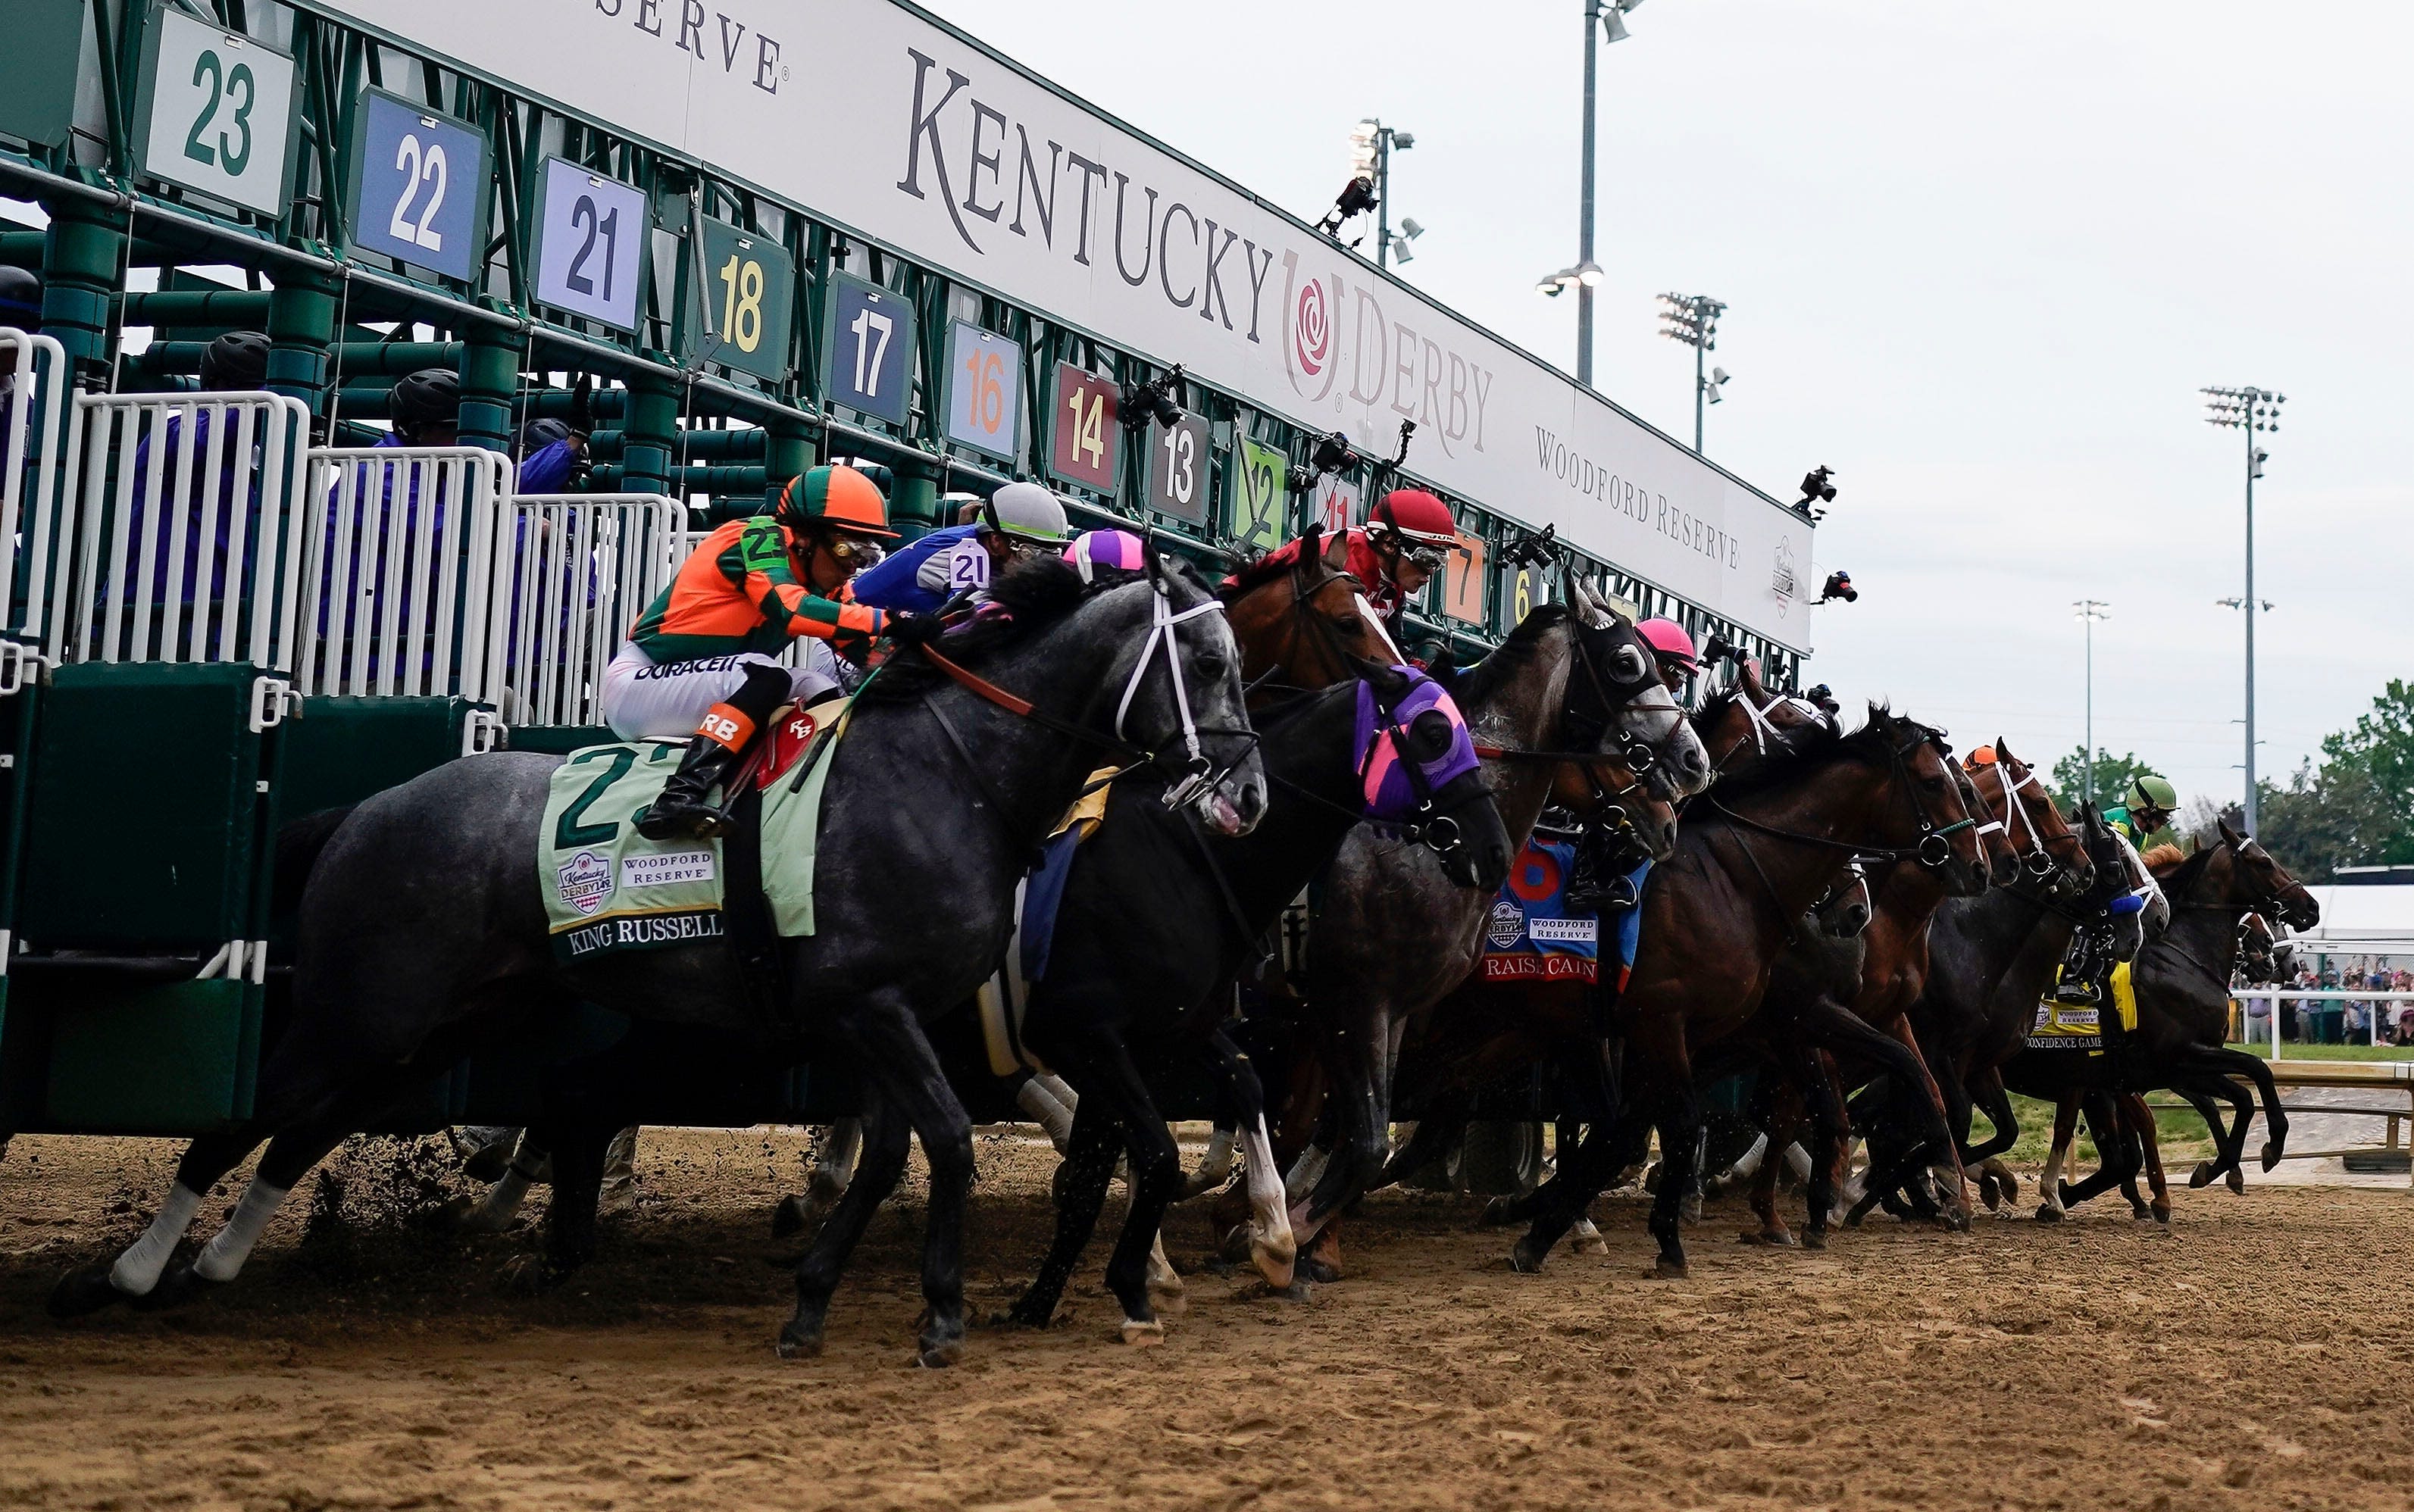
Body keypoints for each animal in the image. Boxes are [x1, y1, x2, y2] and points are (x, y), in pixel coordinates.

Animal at [52, 553, 1265, 1362]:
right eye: (1207, 658)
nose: (1246, 795)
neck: (951, 771)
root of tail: (363, 808)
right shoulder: (870, 1003)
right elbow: (951, 1144)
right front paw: (942, 1311)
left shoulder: (890, 1013)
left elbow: (893, 1153)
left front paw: (816, 1299)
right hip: (367, 1008)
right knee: (247, 1115)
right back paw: (131, 1271)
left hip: (429, 1024)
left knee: (304, 1125)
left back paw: (215, 1261)